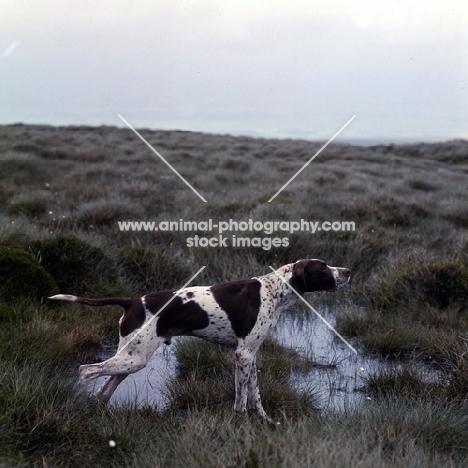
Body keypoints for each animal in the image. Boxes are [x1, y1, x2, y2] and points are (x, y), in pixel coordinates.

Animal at [50, 260, 352, 420]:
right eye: (323, 268)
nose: (348, 271)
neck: (273, 291)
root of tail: (132, 301)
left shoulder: (250, 356)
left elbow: (255, 394)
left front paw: (266, 421)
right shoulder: (242, 355)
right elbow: (241, 398)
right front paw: (241, 423)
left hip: (129, 357)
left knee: (105, 388)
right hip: (134, 358)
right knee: (86, 371)